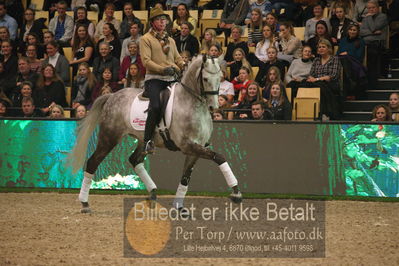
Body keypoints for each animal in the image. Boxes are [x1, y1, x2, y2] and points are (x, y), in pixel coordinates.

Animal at [68, 55, 242, 213]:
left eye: (220, 78)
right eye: (205, 79)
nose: (214, 107)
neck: (191, 104)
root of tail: (112, 96)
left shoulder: (196, 149)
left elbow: (185, 178)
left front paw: (179, 207)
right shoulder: (187, 145)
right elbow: (219, 157)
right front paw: (236, 194)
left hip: (142, 140)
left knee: (134, 160)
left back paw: (152, 193)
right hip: (109, 137)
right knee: (93, 162)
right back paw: (84, 203)